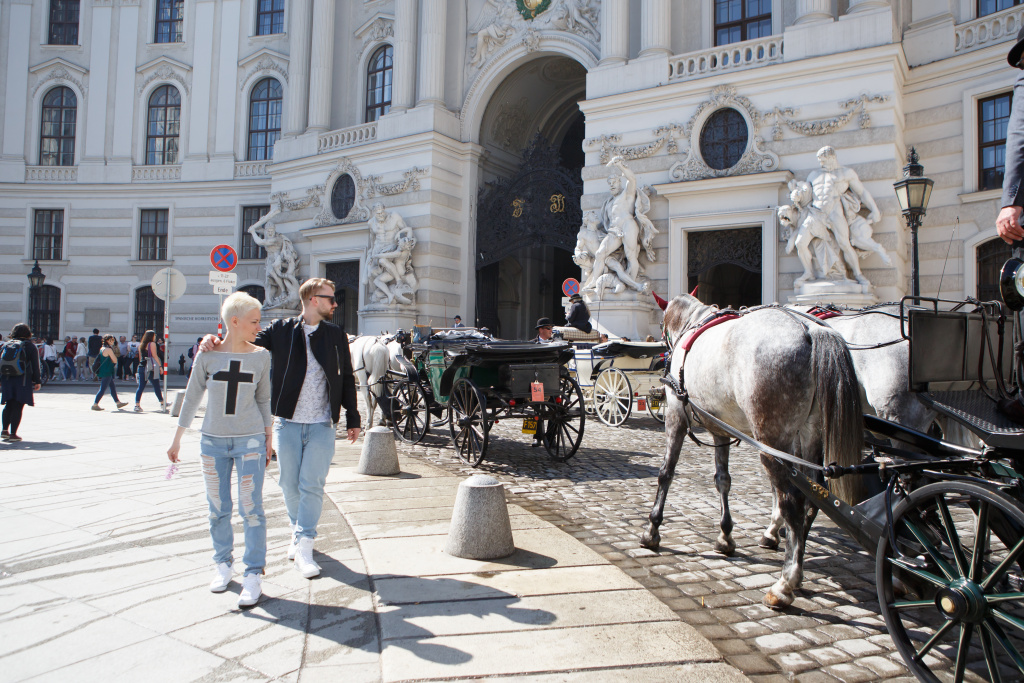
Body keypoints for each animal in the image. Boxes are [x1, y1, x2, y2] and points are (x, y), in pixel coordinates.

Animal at [641, 295, 864, 609]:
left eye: (661, 328)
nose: (662, 355)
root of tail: (811, 330)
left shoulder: (675, 417)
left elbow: (666, 474)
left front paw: (652, 530)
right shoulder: (720, 431)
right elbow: (722, 481)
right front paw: (725, 536)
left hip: (772, 442)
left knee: (792, 502)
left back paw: (785, 582)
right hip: (809, 436)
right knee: (812, 495)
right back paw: (796, 562)